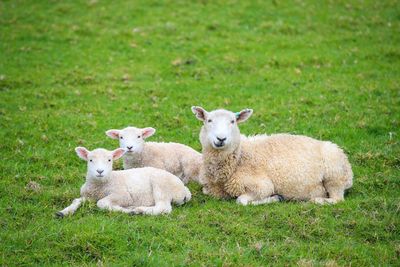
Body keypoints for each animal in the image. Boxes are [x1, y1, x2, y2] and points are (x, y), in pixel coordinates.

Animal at [56, 147, 192, 218]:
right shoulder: (88, 196)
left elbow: (102, 203)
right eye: (90, 160)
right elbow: (76, 201)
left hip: (161, 186)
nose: (100, 171)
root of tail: (185, 190)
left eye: (109, 160)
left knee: (163, 208)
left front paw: (122, 209)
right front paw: (63, 212)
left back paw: (138, 210)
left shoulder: (123, 195)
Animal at [192, 106, 352, 205]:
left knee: (337, 199)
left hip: (335, 175)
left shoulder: (262, 186)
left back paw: (316, 200)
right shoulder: (209, 188)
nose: (221, 139)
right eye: (209, 120)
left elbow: (241, 201)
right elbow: (206, 191)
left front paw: (276, 198)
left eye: (233, 121)